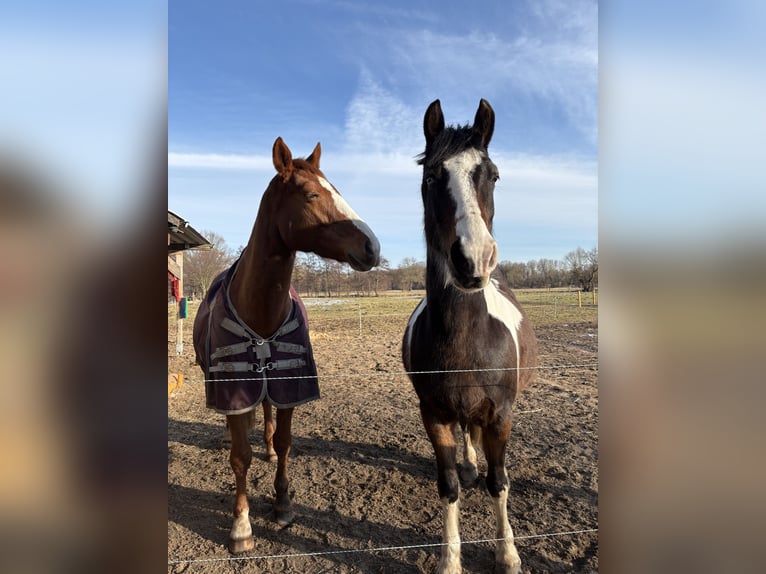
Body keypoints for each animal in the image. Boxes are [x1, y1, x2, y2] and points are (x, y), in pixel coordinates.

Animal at [193, 137, 380, 553]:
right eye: (311, 194)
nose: (372, 247)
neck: (261, 309)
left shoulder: (289, 386)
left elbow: (285, 440)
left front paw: (282, 504)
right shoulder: (235, 392)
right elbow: (240, 457)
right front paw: (241, 527)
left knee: (267, 417)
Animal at [402, 99, 537, 574]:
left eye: (492, 174)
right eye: (430, 177)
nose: (473, 259)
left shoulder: (501, 414)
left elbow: (500, 483)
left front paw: (508, 554)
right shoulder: (434, 415)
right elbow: (447, 487)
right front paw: (450, 560)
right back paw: (468, 463)